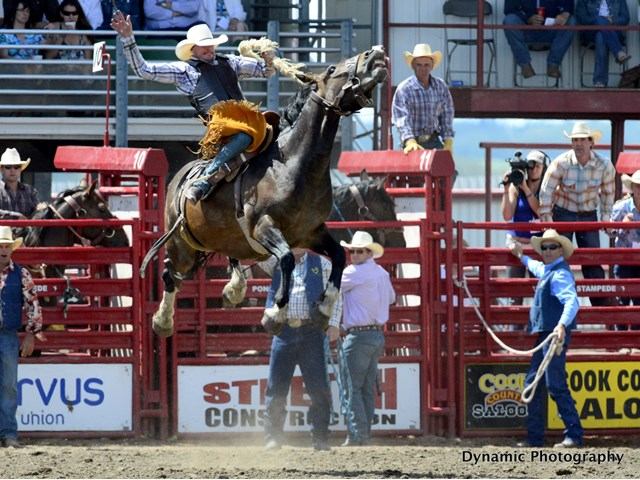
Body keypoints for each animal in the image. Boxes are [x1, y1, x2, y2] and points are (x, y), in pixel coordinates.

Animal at [146, 46, 388, 337]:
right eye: (332, 70)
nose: (375, 54)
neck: (291, 165)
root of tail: (179, 179)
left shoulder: (311, 232)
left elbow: (339, 255)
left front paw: (324, 306)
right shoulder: (263, 227)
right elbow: (286, 259)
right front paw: (275, 313)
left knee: (218, 262)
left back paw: (234, 290)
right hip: (182, 244)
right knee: (170, 274)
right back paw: (162, 321)